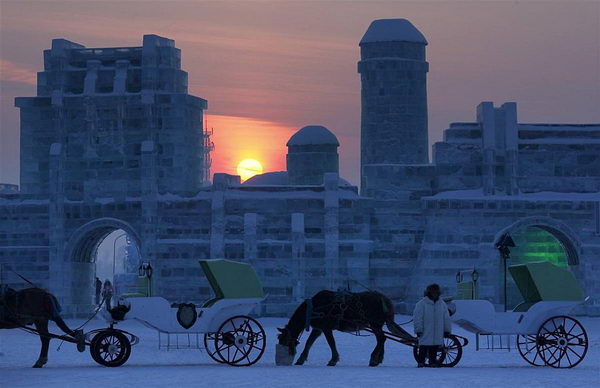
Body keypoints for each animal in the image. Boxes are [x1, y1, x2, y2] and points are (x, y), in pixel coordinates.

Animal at [276, 292, 412, 366]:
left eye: (284, 340)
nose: (283, 357)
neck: (314, 308)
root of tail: (385, 299)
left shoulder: (326, 327)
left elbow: (331, 343)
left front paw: (333, 360)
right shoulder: (318, 328)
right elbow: (309, 343)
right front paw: (301, 359)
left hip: (375, 324)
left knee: (381, 339)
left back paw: (373, 359)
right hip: (377, 325)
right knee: (382, 339)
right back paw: (378, 359)